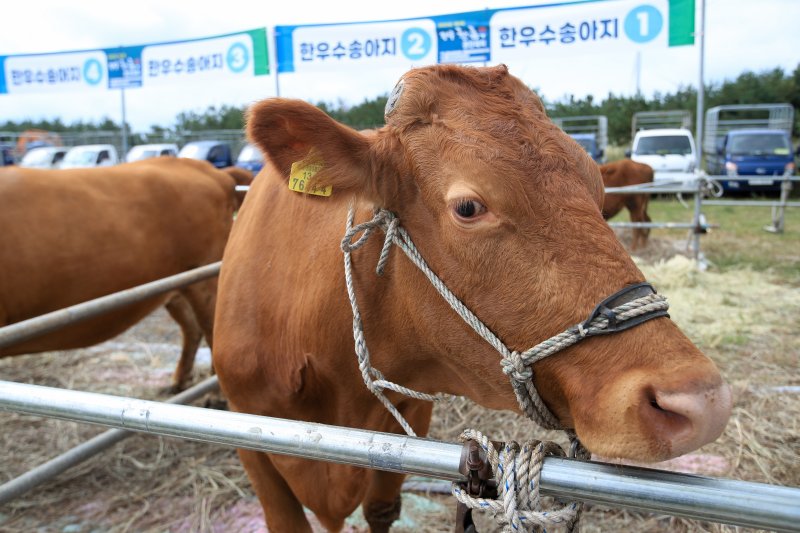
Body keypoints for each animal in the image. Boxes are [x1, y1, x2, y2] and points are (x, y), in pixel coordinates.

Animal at [0, 158, 250, 390]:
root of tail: (210, 170)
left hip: (208, 280)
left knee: (212, 332)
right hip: (176, 285)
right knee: (191, 327)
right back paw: (178, 382)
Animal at [212, 64, 732, 528]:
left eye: (597, 186)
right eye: (467, 207)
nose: (701, 400)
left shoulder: (412, 419)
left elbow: (381, 509)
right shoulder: (249, 433)